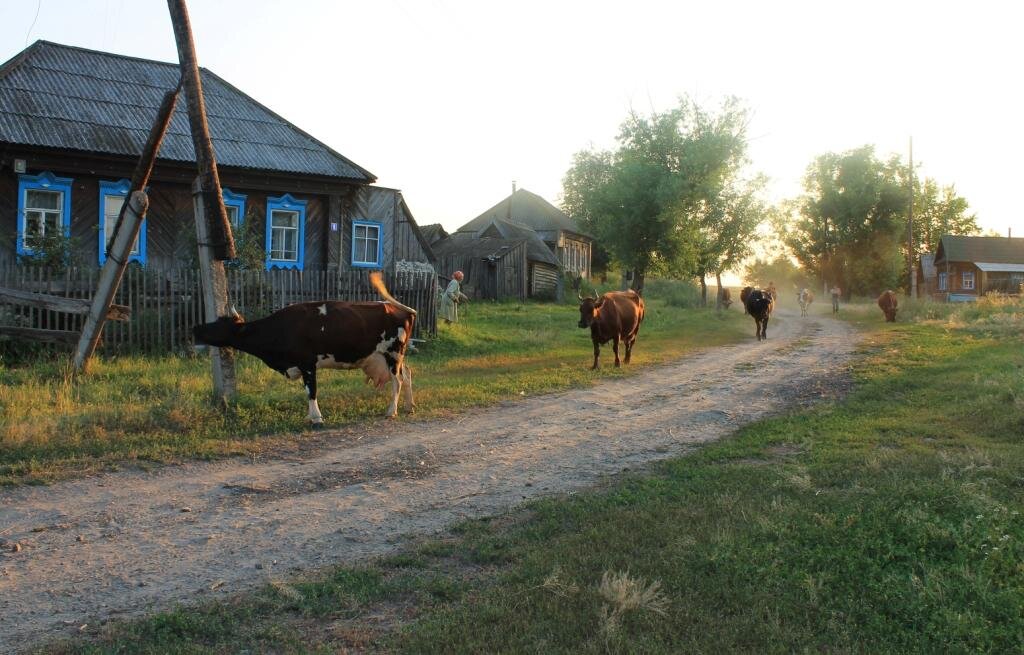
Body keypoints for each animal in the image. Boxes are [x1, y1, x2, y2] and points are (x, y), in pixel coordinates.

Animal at [192, 272, 415, 421]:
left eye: (220, 324)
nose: (195, 327)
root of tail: (401, 309)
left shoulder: (307, 363)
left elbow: (311, 390)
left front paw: (316, 417)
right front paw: (312, 416)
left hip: (393, 353)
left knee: (397, 381)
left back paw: (391, 411)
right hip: (392, 356)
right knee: (407, 374)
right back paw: (409, 406)